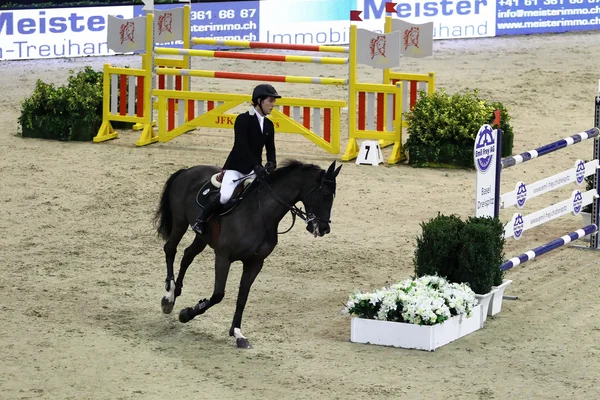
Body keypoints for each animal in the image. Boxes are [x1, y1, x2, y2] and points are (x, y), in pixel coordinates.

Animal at [154, 159, 342, 346]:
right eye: (325, 194)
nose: (324, 228)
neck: (260, 214)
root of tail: (188, 170)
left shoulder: (255, 263)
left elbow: (242, 297)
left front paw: (238, 334)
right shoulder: (223, 258)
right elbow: (218, 295)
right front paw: (186, 314)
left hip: (203, 237)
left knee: (187, 255)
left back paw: (175, 293)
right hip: (180, 222)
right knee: (170, 249)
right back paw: (168, 296)